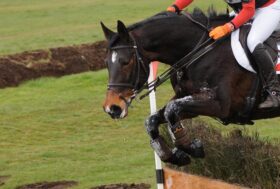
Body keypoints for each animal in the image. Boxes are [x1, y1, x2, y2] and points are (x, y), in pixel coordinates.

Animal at [101, 9, 280, 165]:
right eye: (106, 63)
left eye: (126, 62)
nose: (112, 108)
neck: (198, 51)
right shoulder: (187, 97)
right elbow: (154, 119)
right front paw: (173, 155)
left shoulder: (220, 105)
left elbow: (171, 110)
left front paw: (192, 147)